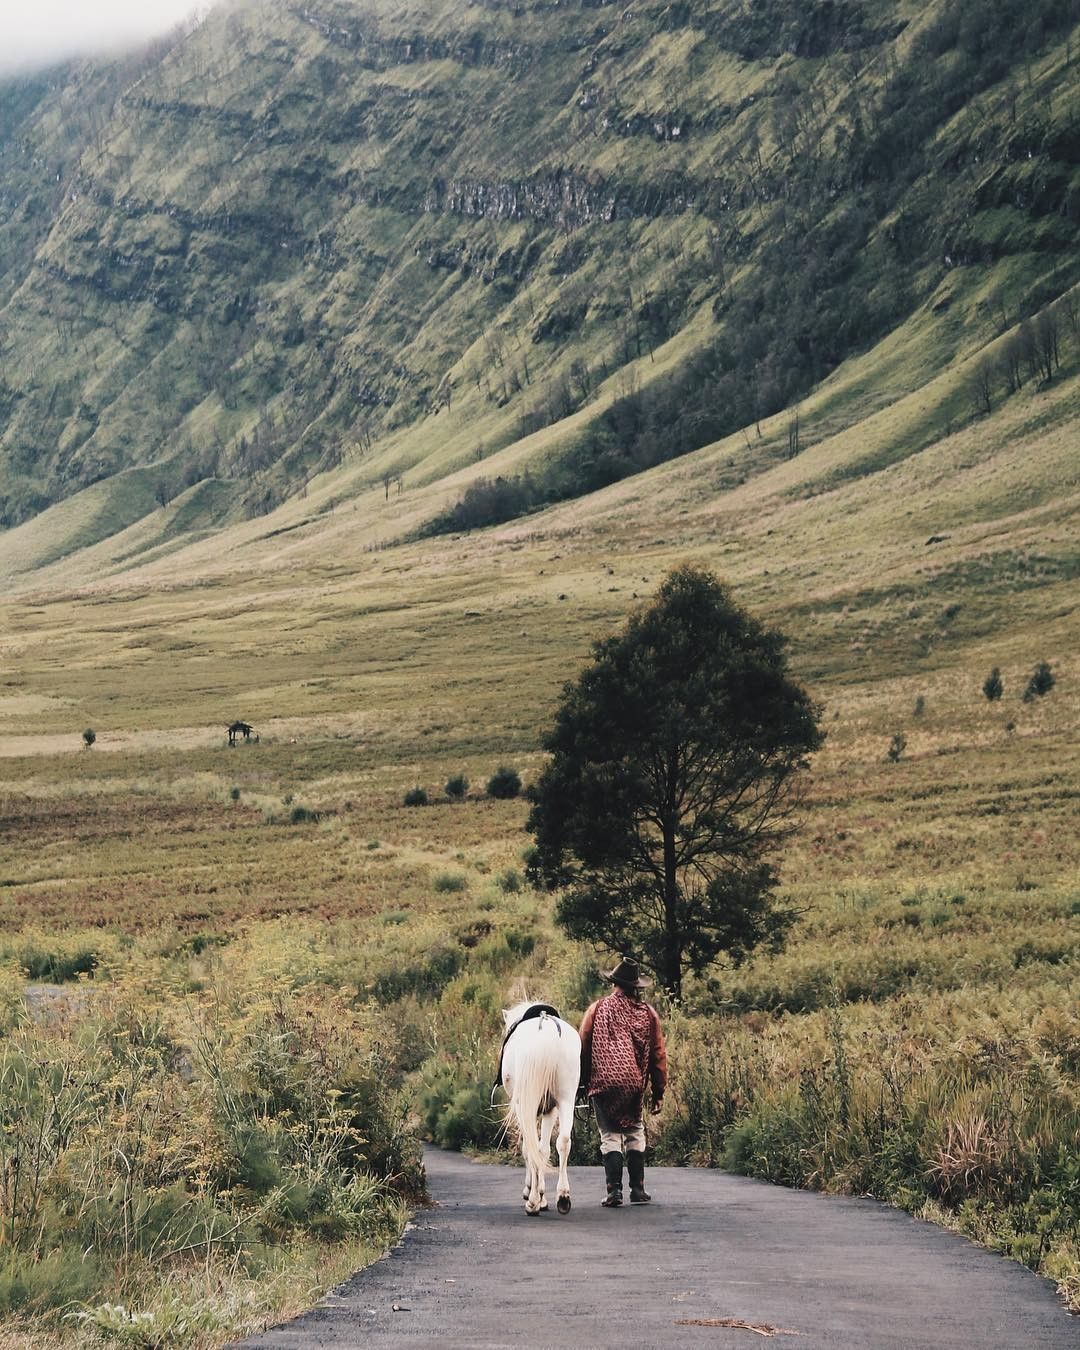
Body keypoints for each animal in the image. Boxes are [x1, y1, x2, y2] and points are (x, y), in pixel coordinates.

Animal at [499, 1004, 583, 1215]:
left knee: (531, 1147)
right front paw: (543, 1197)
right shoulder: (549, 1110)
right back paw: (563, 1197)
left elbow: (529, 1149)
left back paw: (532, 1202)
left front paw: (533, 1194)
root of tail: (546, 1032)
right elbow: (544, 1150)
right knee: (563, 1142)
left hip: (526, 1104)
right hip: (566, 1099)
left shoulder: (524, 1108)